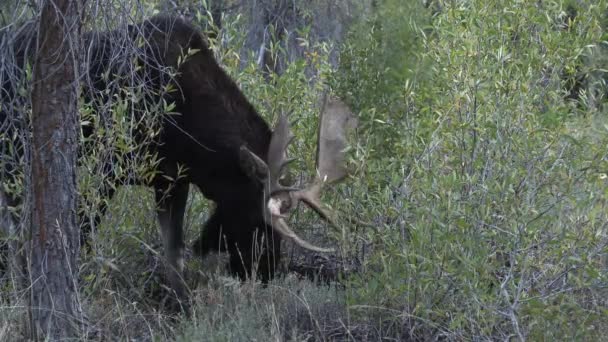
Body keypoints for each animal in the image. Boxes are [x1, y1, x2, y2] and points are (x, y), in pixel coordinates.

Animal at [0, 14, 354, 306]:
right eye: (258, 220)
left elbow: (174, 253)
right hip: (14, 151)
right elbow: (84, 231)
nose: (266, 271)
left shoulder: (173, 181)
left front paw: (181, 305)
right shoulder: (109, 167)